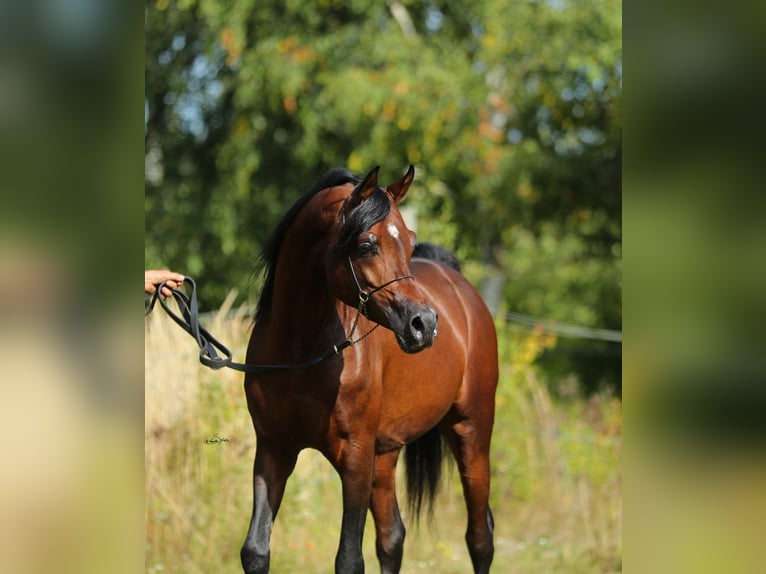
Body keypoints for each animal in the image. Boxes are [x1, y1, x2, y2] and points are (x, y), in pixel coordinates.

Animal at [242, 165, 504, 574]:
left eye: (409, 243)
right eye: (366, 245)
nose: (424, 324)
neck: (301, 353)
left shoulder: (355, 457)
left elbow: (349, 558)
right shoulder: (273, 449)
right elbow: (256, 550)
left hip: (471, 433)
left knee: (480, 537)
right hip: (386, 454)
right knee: (393, 538)